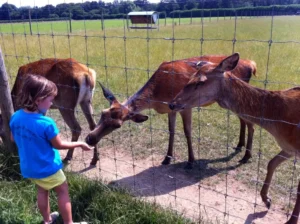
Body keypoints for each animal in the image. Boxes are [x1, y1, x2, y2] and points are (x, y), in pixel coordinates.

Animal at [85, 55, 256, 169]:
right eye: (103, 113)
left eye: (118, 125)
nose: (90, 138)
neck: (158, 94)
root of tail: (252, 65)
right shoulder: (170, 108)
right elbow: (171, 130)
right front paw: (167, 158)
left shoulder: (184, 106)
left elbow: (187, 131)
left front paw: (191, 161)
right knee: (243, 120)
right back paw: (239, 145)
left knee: (250, 122)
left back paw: (246, 156)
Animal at [169, 53, 300, 223]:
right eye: (189, 78)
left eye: (200, 81)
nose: (172, 104)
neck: (279, 121)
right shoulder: (289, 148)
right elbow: (271, 163)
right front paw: (266, 200)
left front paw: (291, 220)